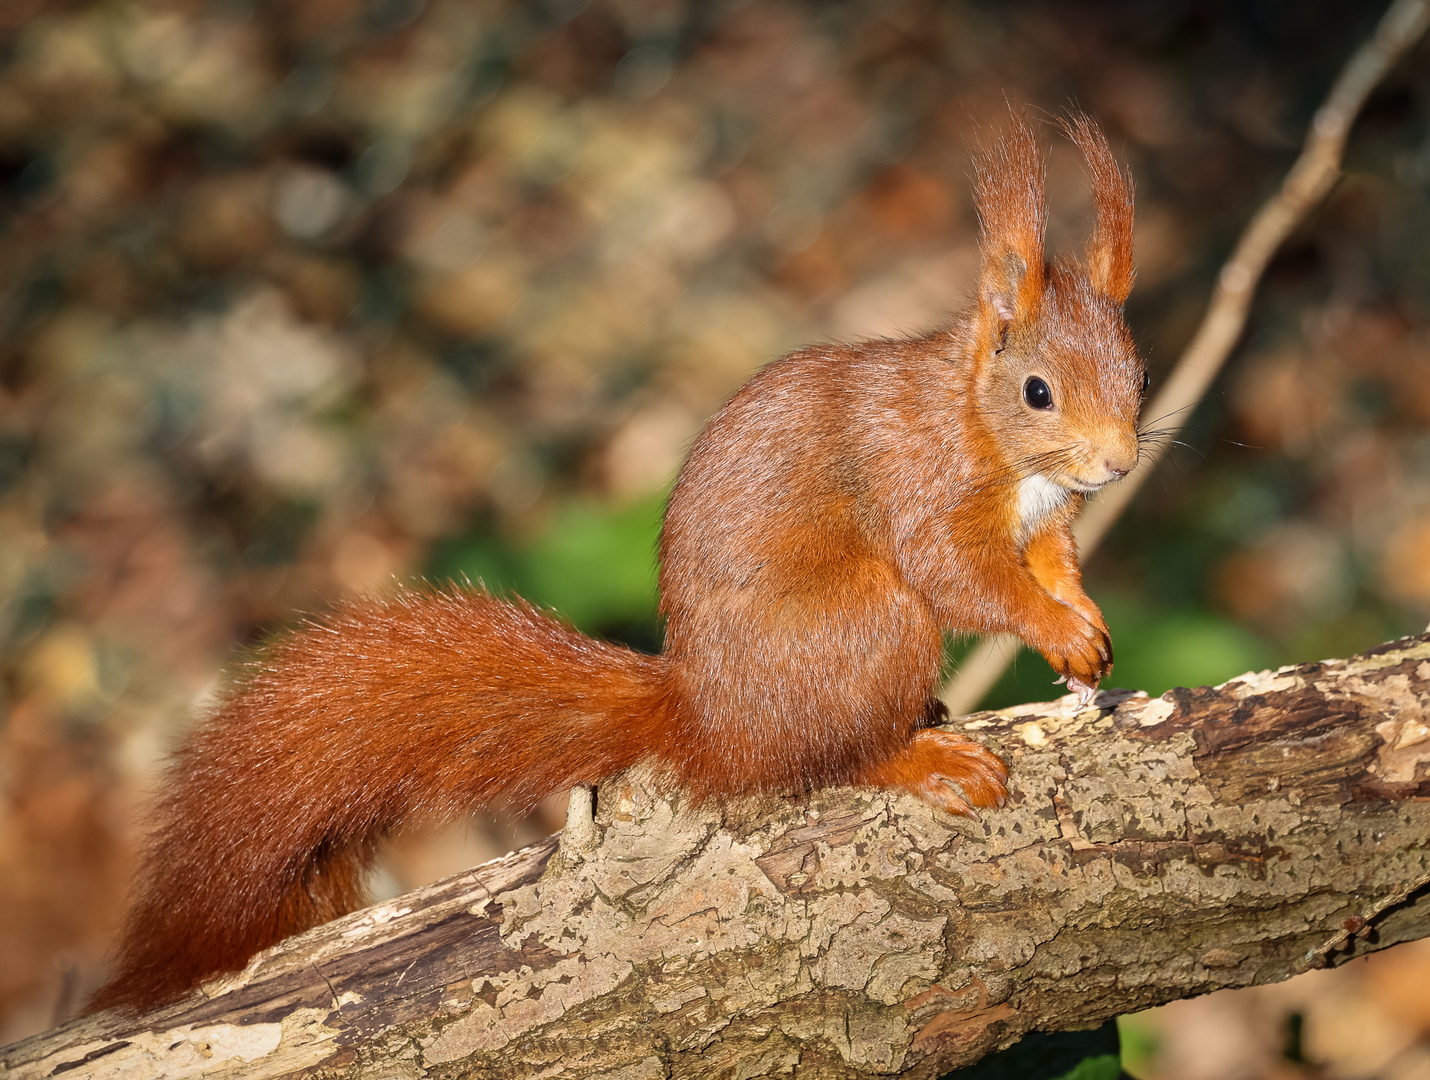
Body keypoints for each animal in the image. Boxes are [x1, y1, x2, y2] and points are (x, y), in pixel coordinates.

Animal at [86, 115, 1138, 1012]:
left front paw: (1084, 622)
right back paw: (922, 756)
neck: (987, 432)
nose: (1121, 465)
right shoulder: (918, 487)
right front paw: (1051, 627)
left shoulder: (1045, 520)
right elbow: (962, 578)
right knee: (832, 756)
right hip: (867, 625)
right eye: (1037, 391)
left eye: (1137, 372)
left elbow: (1052, 562)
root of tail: (707, 724)